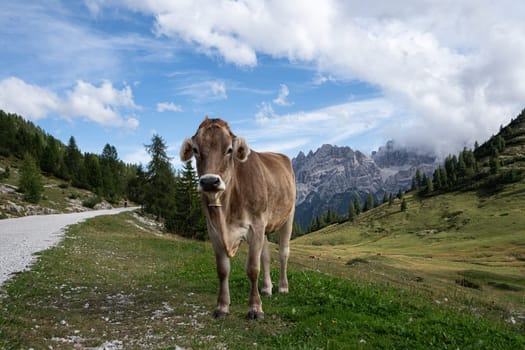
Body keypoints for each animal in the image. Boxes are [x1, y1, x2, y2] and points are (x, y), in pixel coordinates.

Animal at [180, 117, 294, 320]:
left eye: (229, 150)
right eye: (196, 150)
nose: (209, 182)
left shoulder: (256, 226)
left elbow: (253, 268)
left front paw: (255, 308)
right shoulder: (214, 230)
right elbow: (223, 269)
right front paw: (222, 307)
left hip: (288, 216)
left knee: (283, 253)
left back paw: (282, 287)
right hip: (265, 226)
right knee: (266, 255)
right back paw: (267, 288)